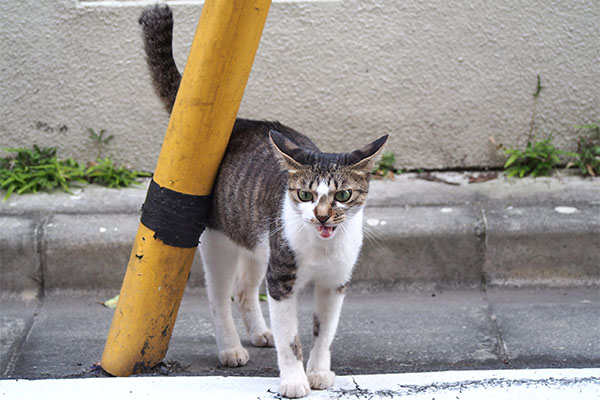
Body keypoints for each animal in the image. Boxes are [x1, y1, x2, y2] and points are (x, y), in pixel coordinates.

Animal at [139, 4, 386, 398]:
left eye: (343, 195)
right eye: (305, 195)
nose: (321, 216)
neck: (321, 248)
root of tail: (239, 122)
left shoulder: (335, 282)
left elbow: (324, 333)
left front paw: (319, 372)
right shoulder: (282, 279)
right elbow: (291, 339)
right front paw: (294, 380)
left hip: (256, 240)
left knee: (244, 290)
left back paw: (258, 332)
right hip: (220, 241)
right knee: (219, 296)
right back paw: (230, 348)